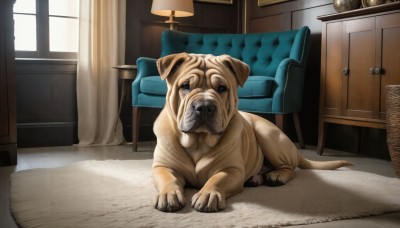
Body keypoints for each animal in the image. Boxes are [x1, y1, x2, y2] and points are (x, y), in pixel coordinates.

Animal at [152, 52, 352, 213]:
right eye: (185, 86)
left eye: (222, 88)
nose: (205, 106)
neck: (198, 140)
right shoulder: (162, 166)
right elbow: (167, 177)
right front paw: (169, 194)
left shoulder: (232, 170)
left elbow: (217, 178)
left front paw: (208, 194)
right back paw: (256, 179)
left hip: (268, 135)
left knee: (290, 168)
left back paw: (276, 176)